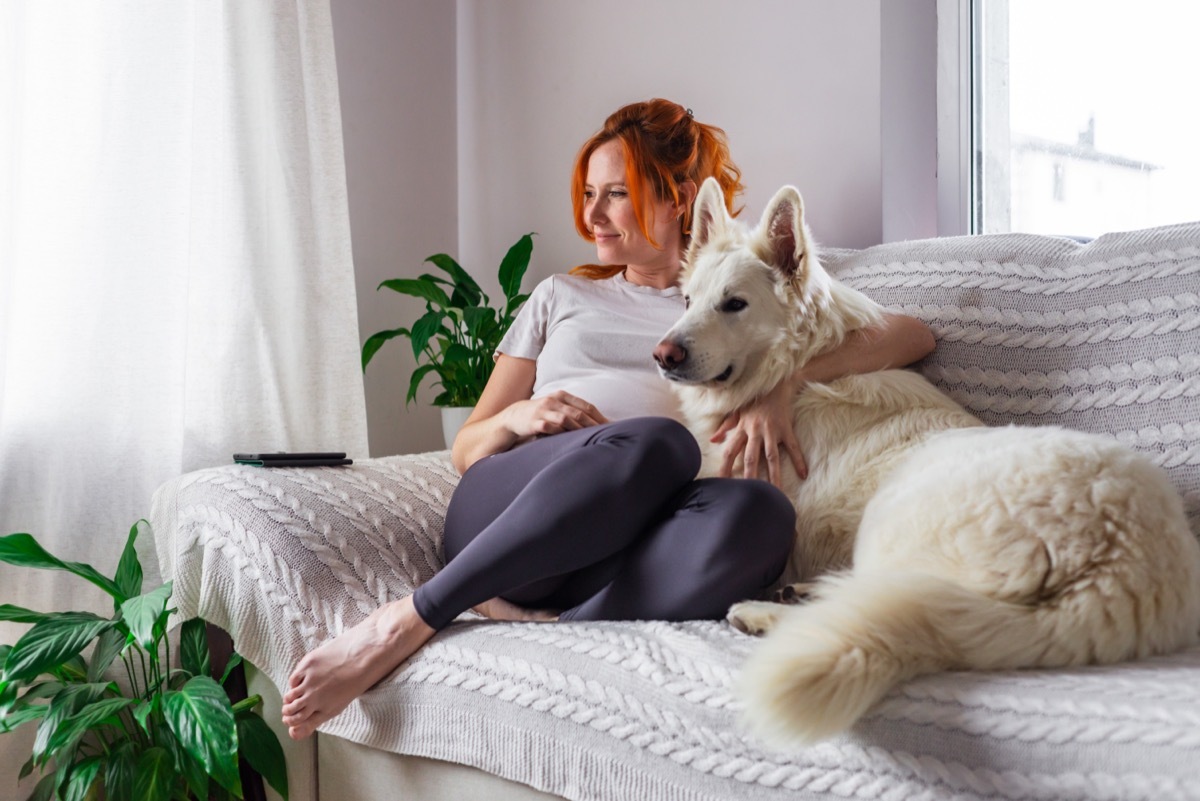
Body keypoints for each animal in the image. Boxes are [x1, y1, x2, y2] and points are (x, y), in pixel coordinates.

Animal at [657, 178, 1200, 748]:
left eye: (734, 304)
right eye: (689, 300)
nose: (663, 355)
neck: (794, 370)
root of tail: (1115, 562)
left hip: (891, 516)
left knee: (875, 610)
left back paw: (765, 612)